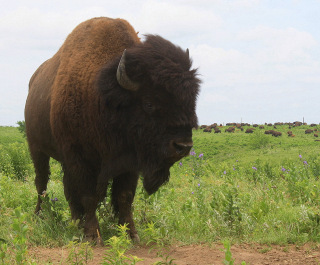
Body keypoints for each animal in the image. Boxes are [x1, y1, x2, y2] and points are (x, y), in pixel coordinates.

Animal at [25, 16, 200, 243]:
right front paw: (93, 236)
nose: (183, 146)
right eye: (149, 103)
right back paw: (40, 215)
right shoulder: (81, 159)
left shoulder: (130, 163)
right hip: (37, 149)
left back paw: (75, 223)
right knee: (42, 183)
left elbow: (124, 197)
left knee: (66, 190)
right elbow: (88, 195)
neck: (103, 95)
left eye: (191, 102)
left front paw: (131, 235)